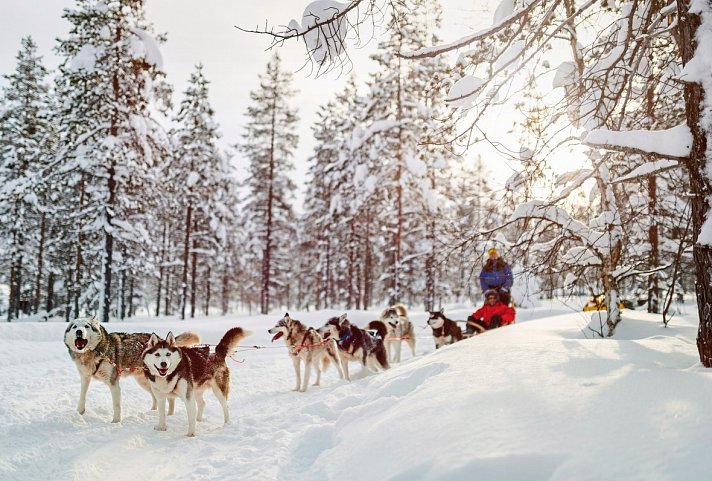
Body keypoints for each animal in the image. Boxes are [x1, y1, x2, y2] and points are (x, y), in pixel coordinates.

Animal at [64, 316, 200, 422]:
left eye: (86, 326)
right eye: (74, 327)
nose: (79, 332)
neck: (93, 353)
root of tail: (162, 340)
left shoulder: (113, 383)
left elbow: (116, 405)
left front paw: (115, 422)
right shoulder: (85, 377)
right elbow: (82, 396)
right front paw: (79, 413)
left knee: (169, 399)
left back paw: (169, 415)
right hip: (146, 383)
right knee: (156, 397)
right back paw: (153, 411)